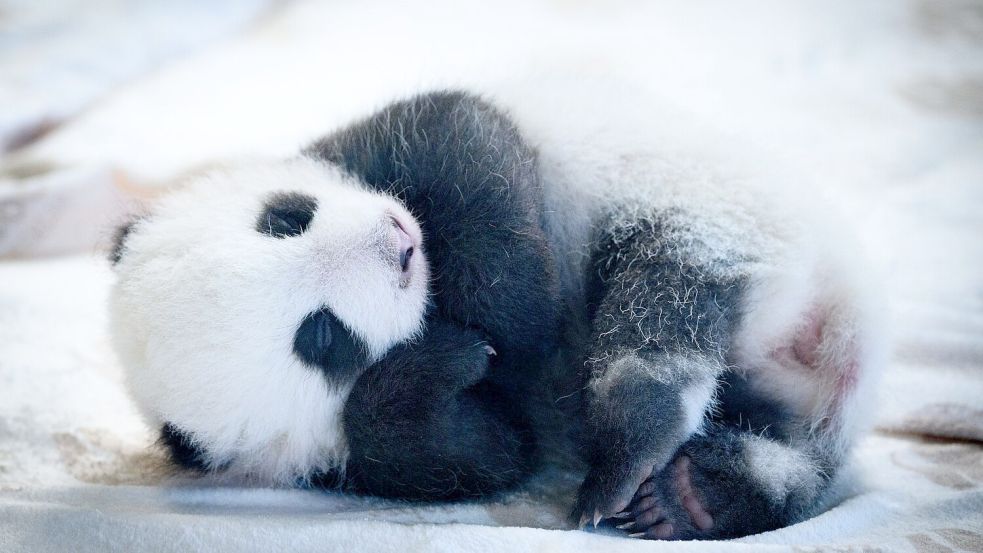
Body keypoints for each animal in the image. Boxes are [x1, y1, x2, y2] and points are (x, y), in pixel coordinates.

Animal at [109, 87, 884, 540]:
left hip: (717, 204)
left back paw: (643, 464)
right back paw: (686, 489)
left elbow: (465, 141)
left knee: (661, 299)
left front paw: (509, 312)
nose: (396, 246)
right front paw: (440, 367)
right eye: (321, 335)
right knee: (697, 358)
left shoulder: (379, 140)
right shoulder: (352, 464)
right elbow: (481, 449)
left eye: (285, 220)